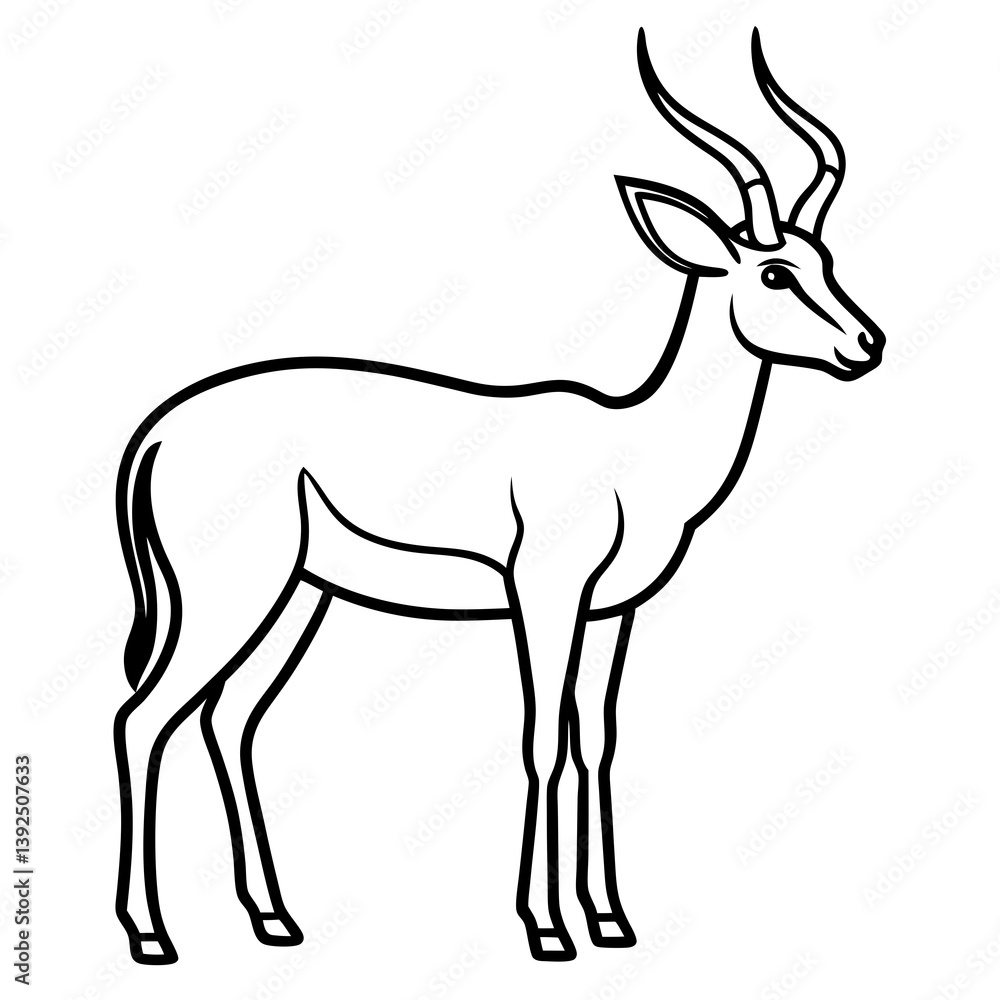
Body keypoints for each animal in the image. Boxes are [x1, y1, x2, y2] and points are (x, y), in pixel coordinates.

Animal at [114, 28, 884, 964]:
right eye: (774, 274)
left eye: (825, 261)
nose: (867, 344)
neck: (635, 448)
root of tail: (160, 428)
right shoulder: (542, 594)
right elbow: (541, 740)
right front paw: (547, 929)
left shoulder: (610, 612)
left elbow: (596, 743)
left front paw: (610, 921)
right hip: (228, 596)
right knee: (143, 718)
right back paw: (151, 936)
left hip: (298, 598)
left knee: (227, 722)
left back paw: (275, 921)